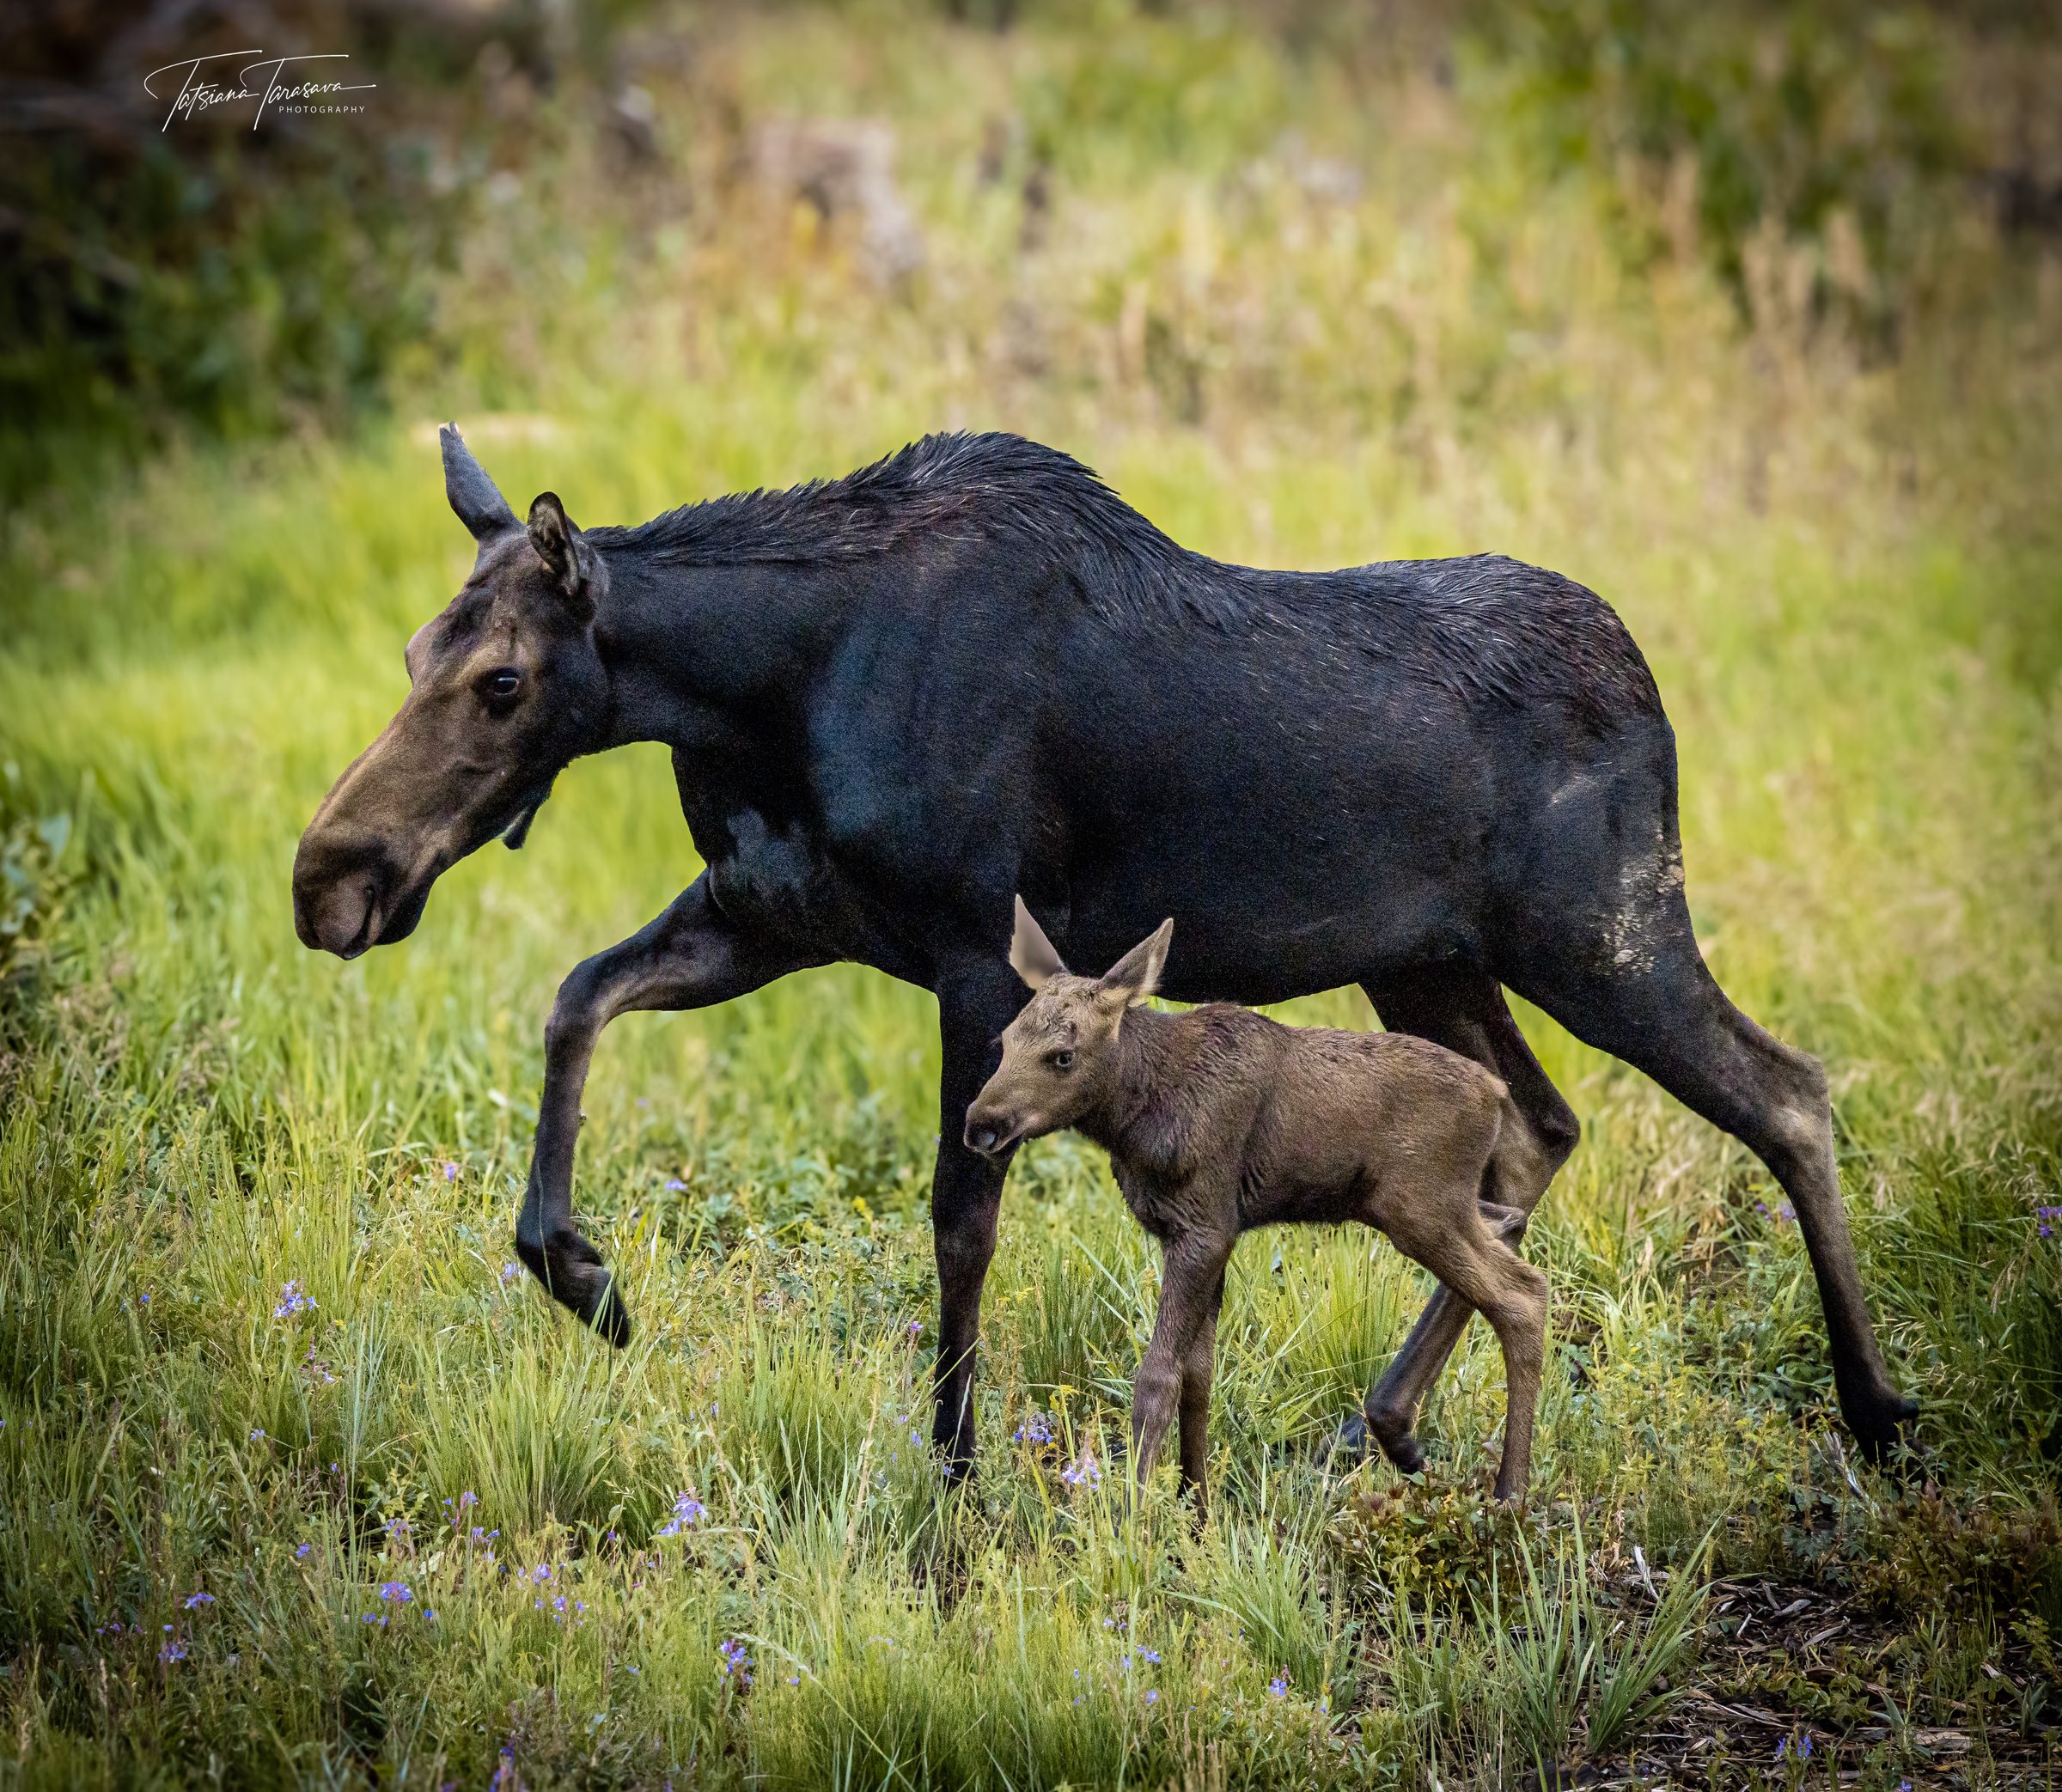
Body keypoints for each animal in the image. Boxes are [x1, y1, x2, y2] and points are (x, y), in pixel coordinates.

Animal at [964, 898, 1549, 1515]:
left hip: (1421, 1206)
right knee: (1509, 1227)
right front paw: (1197, 1509)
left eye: (1063, 1057)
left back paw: (1510, 1493)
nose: (980, 1124)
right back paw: (1417, 1447)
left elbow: (1158, 1378)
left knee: (1523, 1294)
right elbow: (1199, 1379)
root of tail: (1497, 1095)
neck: (1136, 1119)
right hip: (1433, 1205)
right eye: (1005, 1039)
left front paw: (1134, 1515)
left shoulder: (1204, 1229)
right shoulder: (1204, 1232)